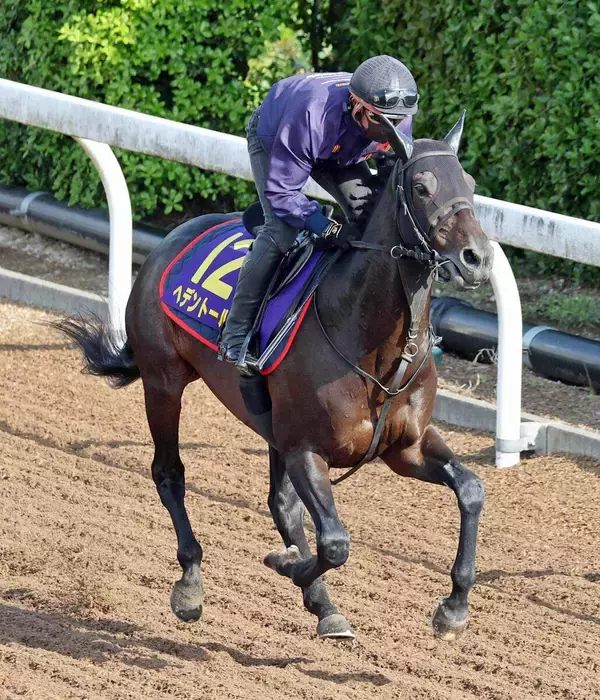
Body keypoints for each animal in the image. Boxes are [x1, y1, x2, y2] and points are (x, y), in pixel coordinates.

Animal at [55, 114, 494, 642]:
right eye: (422, 187)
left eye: (470, 183)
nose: (477, 258)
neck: (371, 341)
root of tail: (168, 241)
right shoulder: (306, 447)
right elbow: (335, 542)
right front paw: (287, 566)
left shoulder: (404, 447)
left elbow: (471, 489)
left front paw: (454, 608)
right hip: (163, 382)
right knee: (169, 473)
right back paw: (191, 583)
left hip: (268, 425)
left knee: (280, 503)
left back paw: (322, 604)